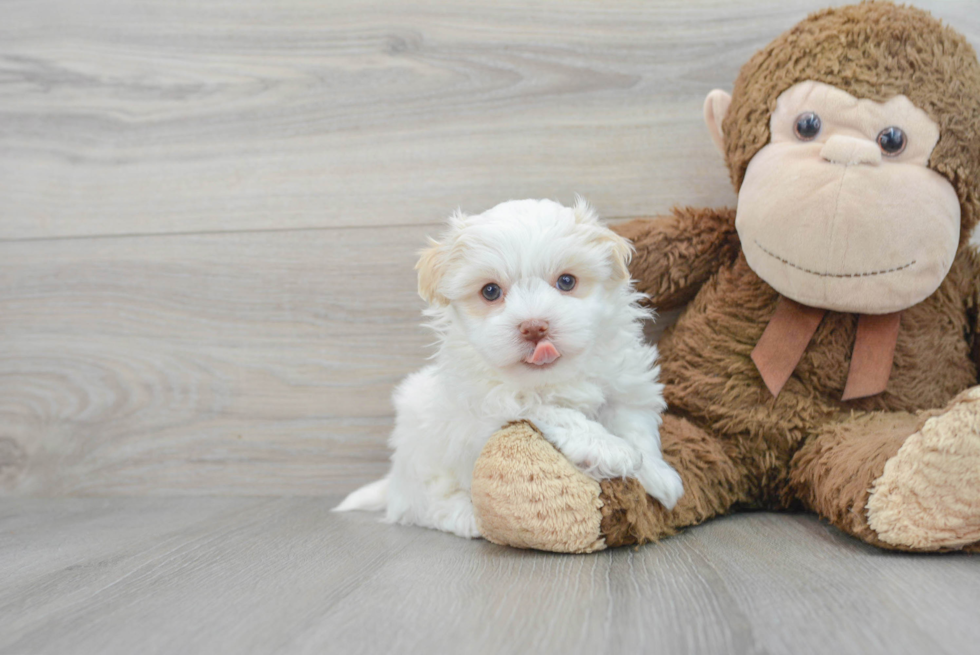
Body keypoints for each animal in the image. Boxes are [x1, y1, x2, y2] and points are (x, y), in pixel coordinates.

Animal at [336, 197, 680, 536]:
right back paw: (469, 517)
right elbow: (558, 413)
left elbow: (637, 429)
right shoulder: (495, 404)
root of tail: (394, 480)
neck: (553, 377)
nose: (534, 327)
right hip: (424, 464)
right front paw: (609, 448)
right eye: (490, 291)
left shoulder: (623, 386)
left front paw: (660, 477)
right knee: (427, 506)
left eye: (566, 281)